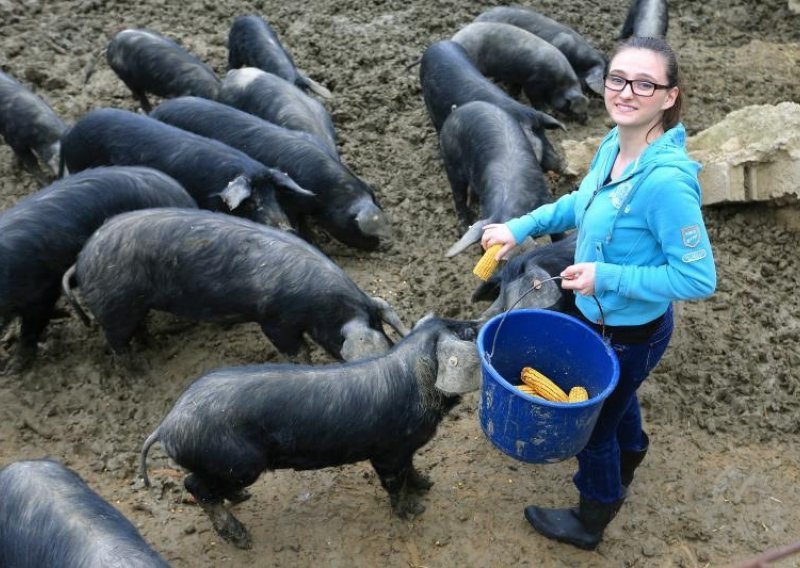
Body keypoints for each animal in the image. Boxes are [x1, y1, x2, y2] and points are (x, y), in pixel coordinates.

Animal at [142, 318, 482, 548]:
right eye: (466, 334)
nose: (478, 321)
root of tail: (167, 424)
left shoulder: (406, 449)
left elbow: (412, 469)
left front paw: (427, 484)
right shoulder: (387, 452)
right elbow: (394, 483)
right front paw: (413, 511)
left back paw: (241, 498)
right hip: (238, 462)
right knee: (194, 485)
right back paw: (242, 538)